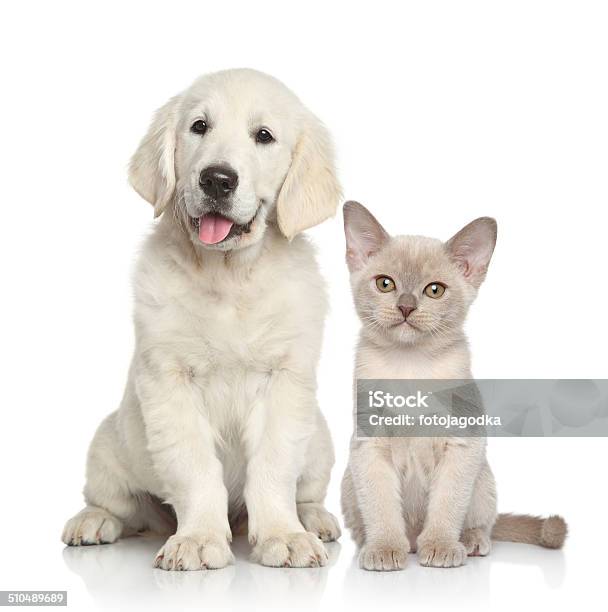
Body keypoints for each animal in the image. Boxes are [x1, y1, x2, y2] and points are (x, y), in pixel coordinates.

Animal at [64, 69, 344, 572]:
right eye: (199, 126)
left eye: (264, 136)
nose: (216, 179)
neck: (228, 277)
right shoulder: (168, 382)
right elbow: (195, 468)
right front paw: (197, 539)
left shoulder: (285, 380)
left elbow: (273, 467)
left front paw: (283, 535)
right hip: (109, 445)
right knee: (115, 503)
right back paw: (92, 521)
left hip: (320, 441)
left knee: (306, 488)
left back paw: (313, 519)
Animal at [340, 203, 568, 572]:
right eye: (385, 284)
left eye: (434, 290)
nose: (406, 307)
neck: (412, 369)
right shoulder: (369, 445)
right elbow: (382, 508)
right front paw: (385, 550)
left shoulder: (463, 444)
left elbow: (447, 505)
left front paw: (441, 547)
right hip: (349, 480)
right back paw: (381, 546)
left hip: (482, 477)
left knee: (482, 522)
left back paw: (467, 543)